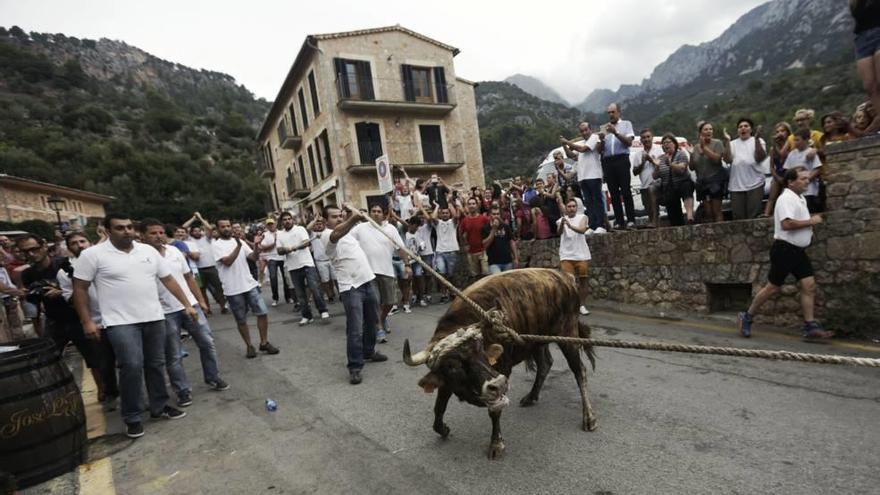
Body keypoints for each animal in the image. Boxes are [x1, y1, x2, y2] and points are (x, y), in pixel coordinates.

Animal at [404, 270, 600, 460]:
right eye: (452, 366)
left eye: (481, 351)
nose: (498, 384)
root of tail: (565, 277)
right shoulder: (446, 381)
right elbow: (439, 407)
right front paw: (443, 428)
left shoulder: (503, 371)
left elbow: (494, 412)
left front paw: (496, 444)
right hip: (536, 341)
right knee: (546, 364)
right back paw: (531, 396)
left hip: (568, 335)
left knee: (579, 370)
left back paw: (589, 418)